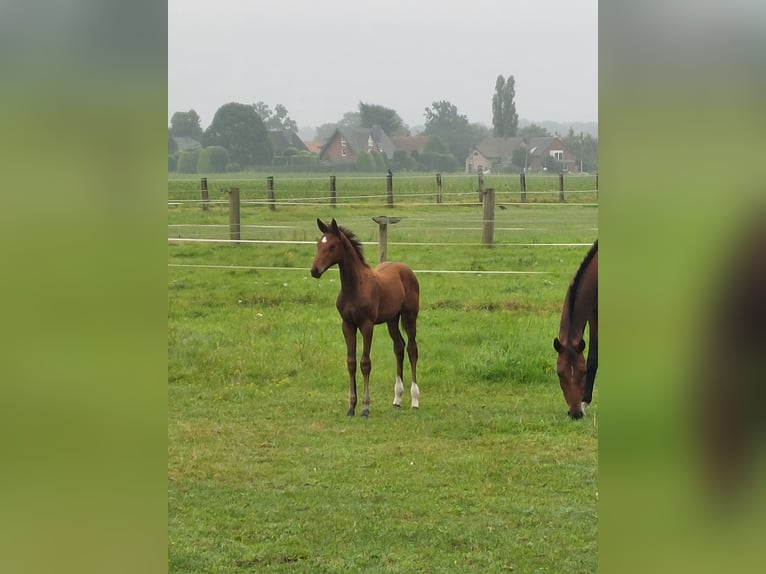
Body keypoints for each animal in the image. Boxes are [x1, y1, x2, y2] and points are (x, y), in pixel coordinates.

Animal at [310, 219, 424, 418]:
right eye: (318, 245)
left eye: (332, 246)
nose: (314, 271)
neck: (355, 287)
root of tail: (406, 269)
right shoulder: (347, 325)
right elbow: (351, 362)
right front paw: (351, 407)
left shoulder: (366, 325)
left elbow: (365, 363)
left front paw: (365, 407)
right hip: (392, 319)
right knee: (399, 348)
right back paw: (397, 399)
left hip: (410, 316)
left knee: (412, 349)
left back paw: (415, 400)